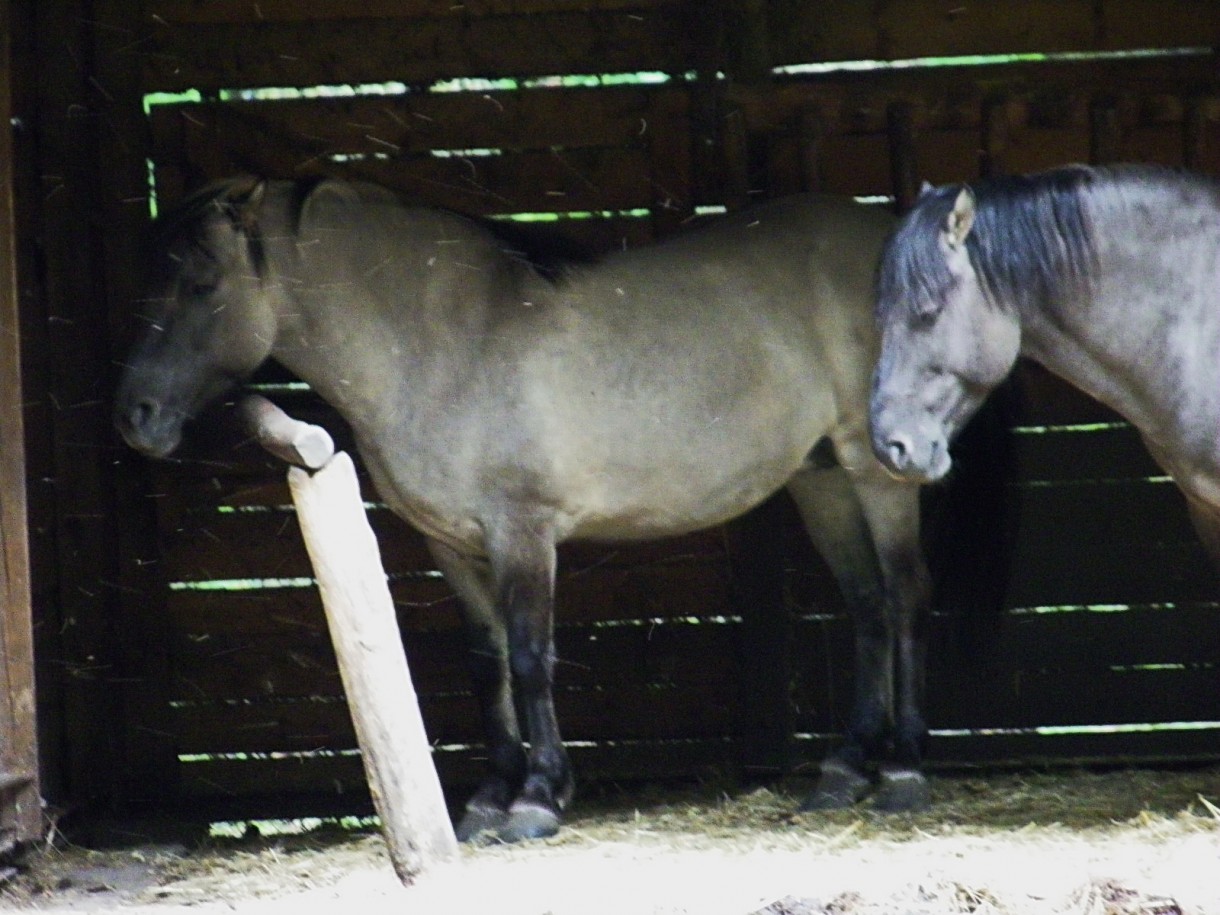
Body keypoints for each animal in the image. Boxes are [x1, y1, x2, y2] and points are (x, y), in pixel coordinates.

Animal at [116, 179, 932, 844]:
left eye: (202, 283)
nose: (137, 417)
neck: (444, 342)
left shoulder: (524, 532)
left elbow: (532, 657)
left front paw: (537, 799)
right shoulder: (450, 542)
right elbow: (488, 661)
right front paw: (489, 797)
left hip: (876, 467)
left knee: (900, 597)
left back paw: (905, 769)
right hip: (820, 478)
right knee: (866, 602)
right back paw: (847, 766)